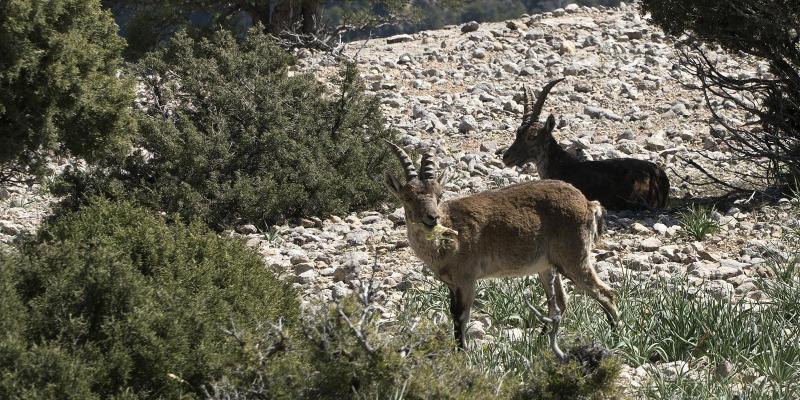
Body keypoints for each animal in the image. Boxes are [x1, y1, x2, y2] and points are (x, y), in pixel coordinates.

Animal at [382, 142, 620, 360]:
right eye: (407, 197)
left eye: (439, 194)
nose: (432, 217)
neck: (448, 238)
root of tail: (589, 204)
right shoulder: (452, 284)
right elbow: (453, 314)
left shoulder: (466, 279)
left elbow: (461, 316)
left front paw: (462, 354)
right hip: (547, 266)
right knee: (560, 304)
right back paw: (540, 342)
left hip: (574, 258)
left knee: (605, 293)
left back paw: (616, 338)